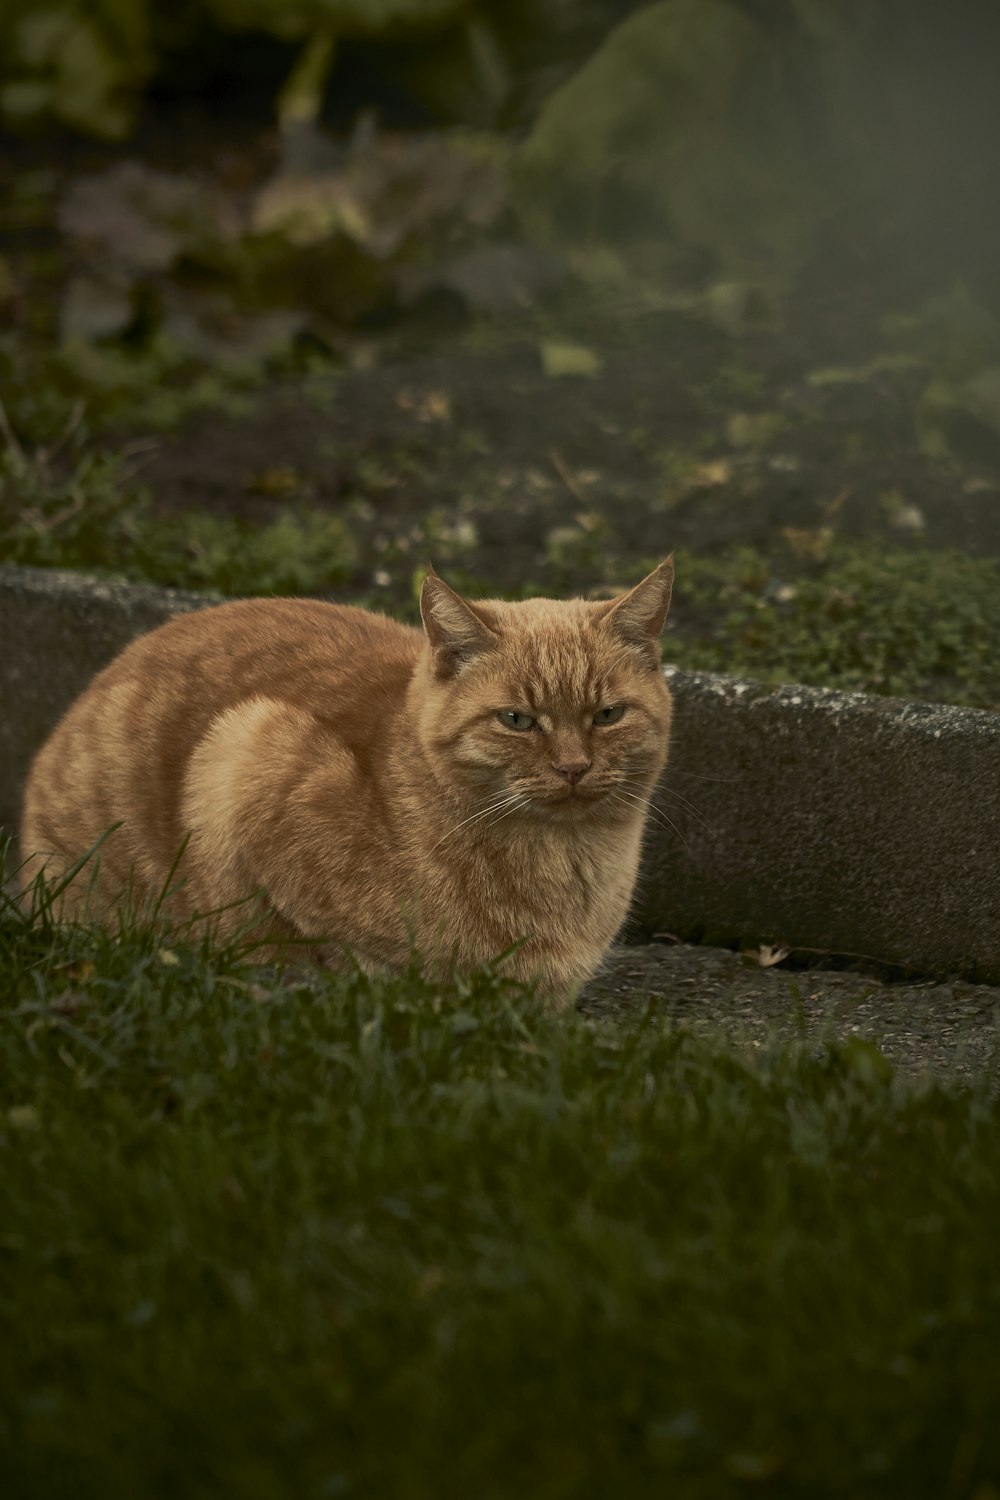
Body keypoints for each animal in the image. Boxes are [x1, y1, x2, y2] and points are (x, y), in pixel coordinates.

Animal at [21, 564, 671, 1008]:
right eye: (517, 720)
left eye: (607, 715)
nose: (573, 767)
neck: (566, 868)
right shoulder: (251, 756)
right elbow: (316, 948)